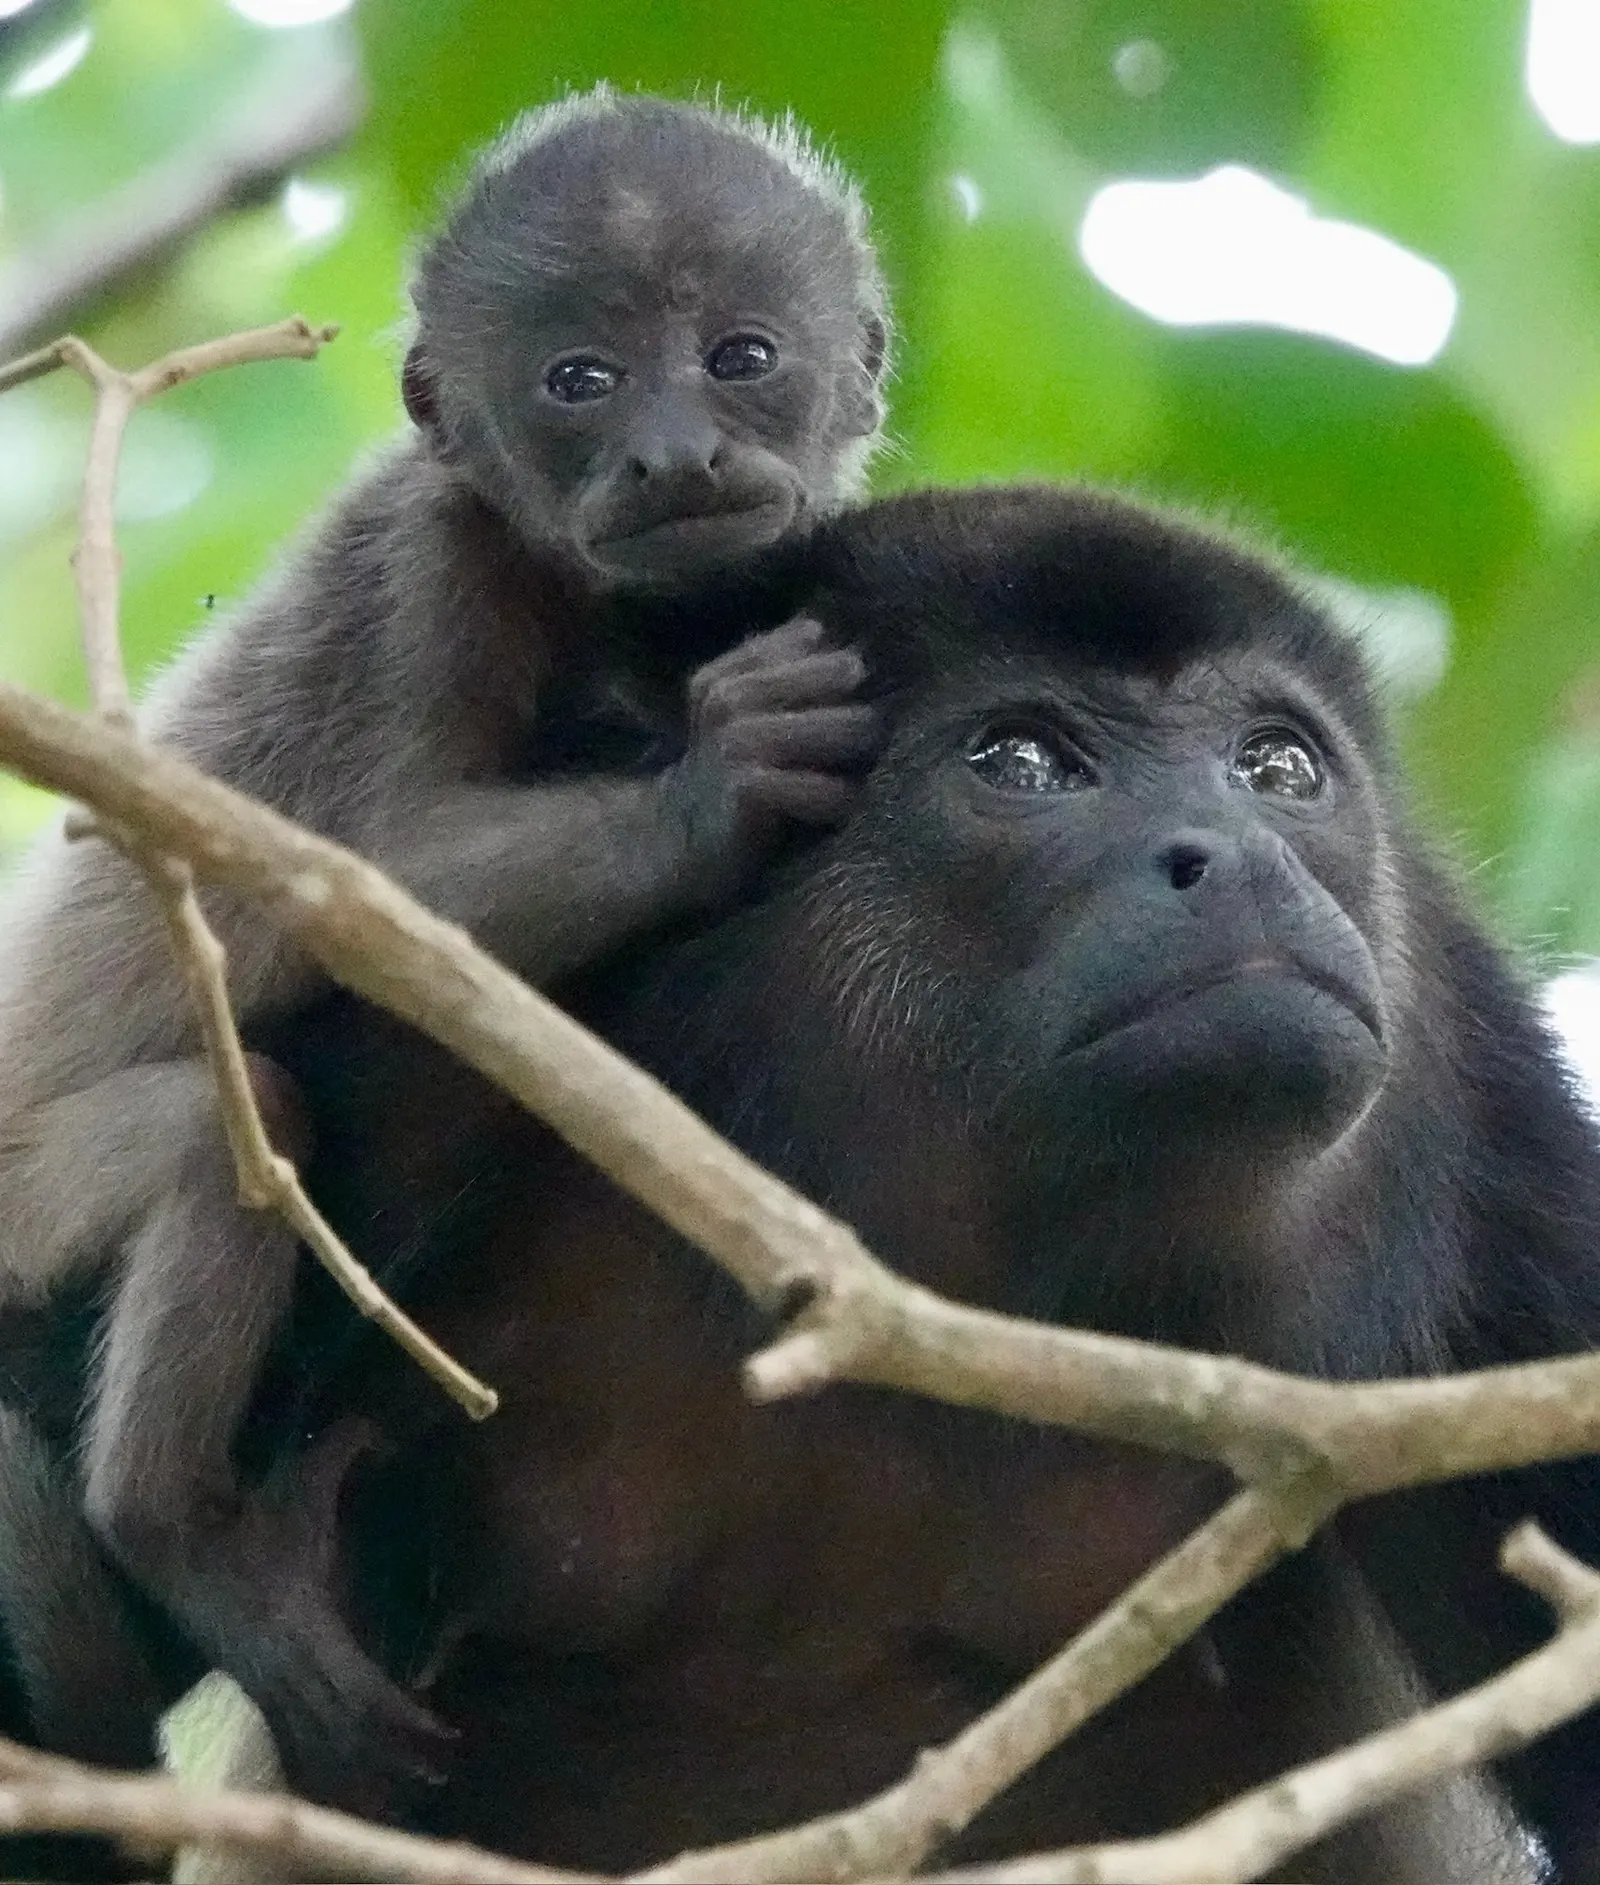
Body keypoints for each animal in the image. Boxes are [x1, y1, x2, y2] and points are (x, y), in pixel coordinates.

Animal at [0, 86, 890, 1809]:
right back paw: (175, 1528)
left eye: (741, 354)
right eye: (578, 381)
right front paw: (710, 793)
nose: (673, 451)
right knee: (228, 1121)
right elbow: (363, 879)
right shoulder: (437, 564)